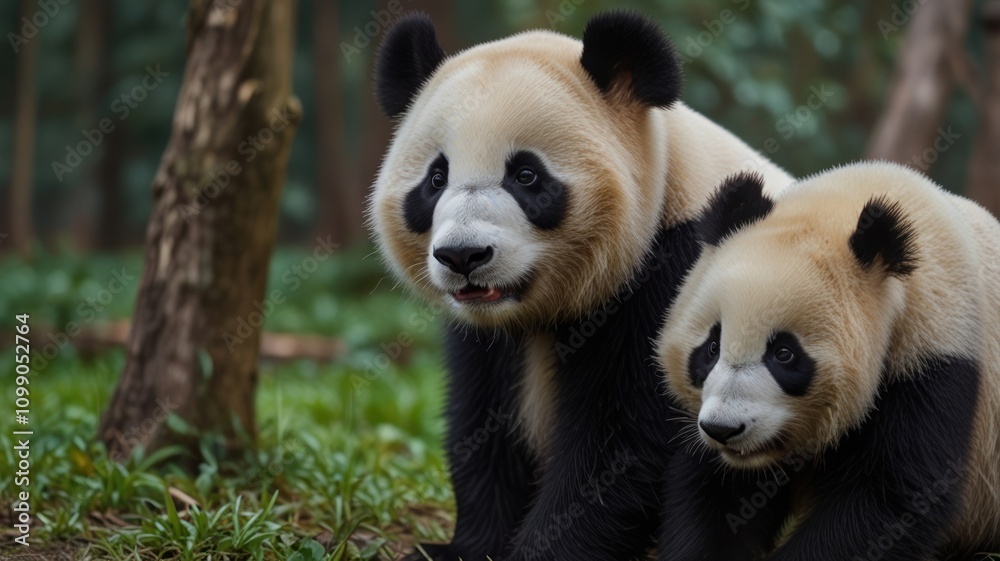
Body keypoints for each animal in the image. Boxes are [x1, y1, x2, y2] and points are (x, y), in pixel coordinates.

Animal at [370, 10, 792, 560]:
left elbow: (619, 447)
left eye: (526, 175)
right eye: (436, 179)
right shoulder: (486, 336)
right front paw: (465, 545)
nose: (463, 256)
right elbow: (482, 420)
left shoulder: (679, 282)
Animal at [655, 162, 1000, 561]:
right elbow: (718, 493)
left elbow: (888, 501)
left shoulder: (936, 358)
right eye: (712, 347)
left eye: (784, 354)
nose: (723, 429)